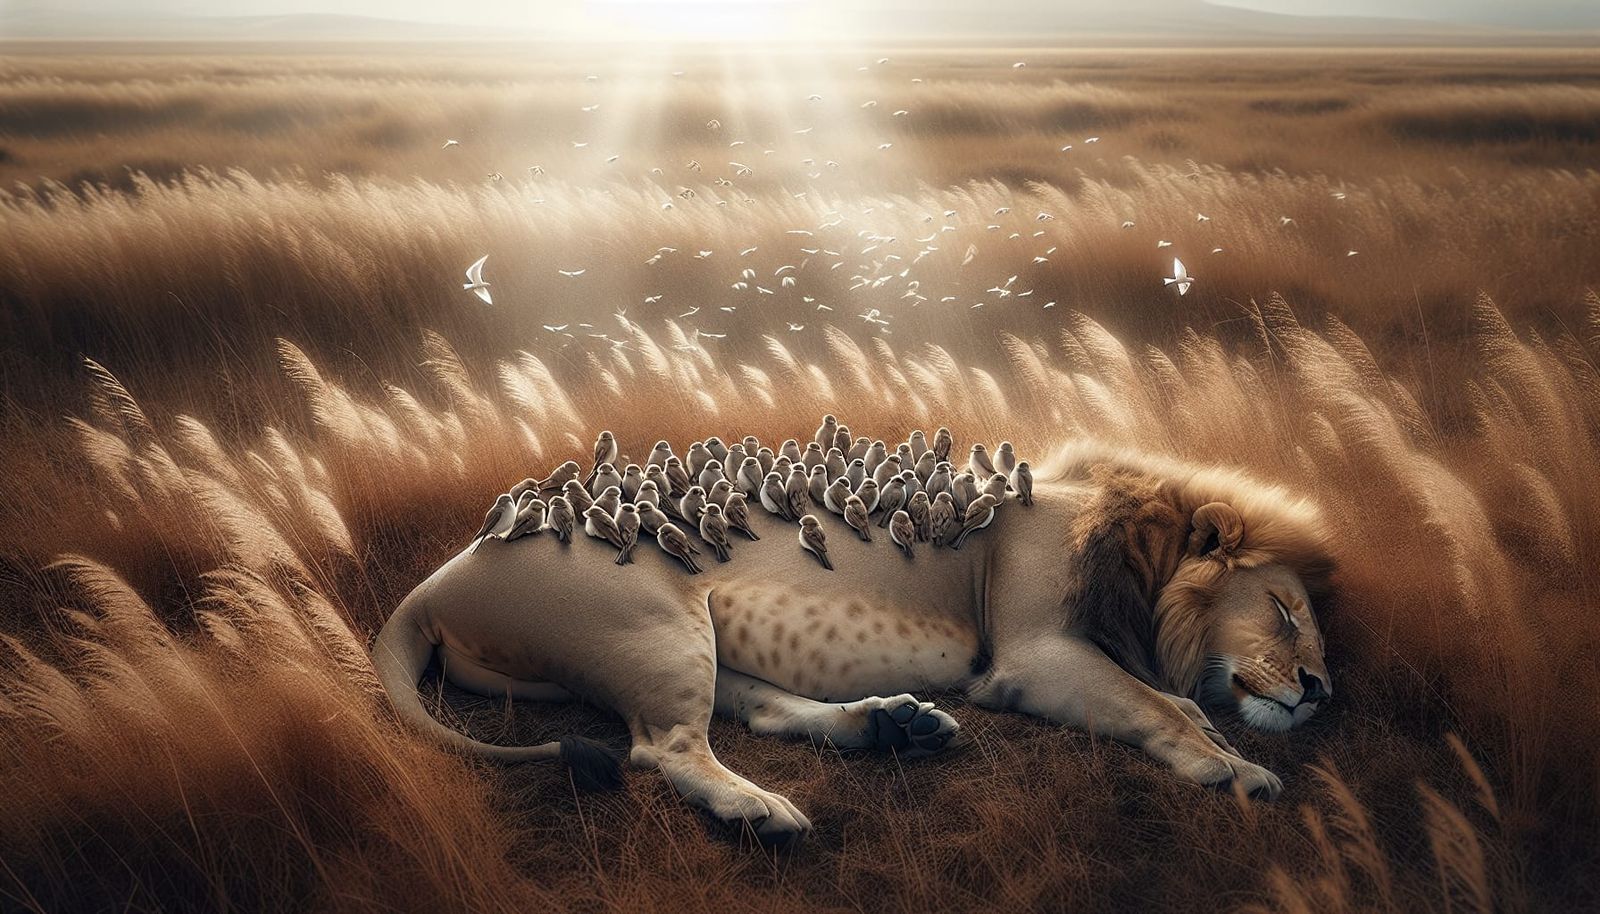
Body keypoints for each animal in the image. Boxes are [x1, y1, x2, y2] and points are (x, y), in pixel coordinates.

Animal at [373, 439, 1335, 841]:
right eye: (1284, 610)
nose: (1320, 688)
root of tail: (430, 585)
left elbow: (1171, 699)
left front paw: (1218, 736)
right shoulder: (1032, 654)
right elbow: (1155, 707)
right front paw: (1236, 769)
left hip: (703, 644)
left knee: (759, 715)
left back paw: (894, 727)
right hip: (653, 626)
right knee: (666, 750)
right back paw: (761, 811)